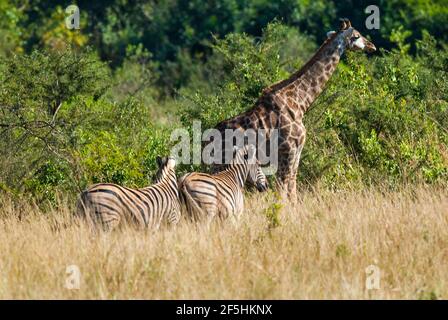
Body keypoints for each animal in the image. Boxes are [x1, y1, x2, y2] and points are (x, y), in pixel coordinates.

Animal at [209, 18, 374, 200]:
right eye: (357, 35)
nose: (372, 46)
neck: (300, 103)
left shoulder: (297, 150)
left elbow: (292, 186)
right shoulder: (287, 150)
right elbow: (284, 188)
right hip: (222, 162)